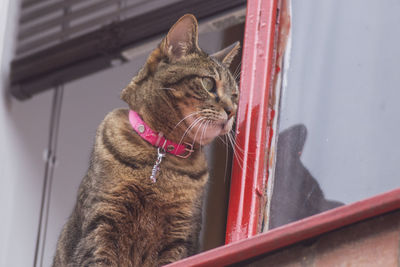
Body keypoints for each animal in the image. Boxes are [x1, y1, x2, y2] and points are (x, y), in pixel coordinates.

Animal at [53, 14, 241, 267]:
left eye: (235, 95)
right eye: (208, 83)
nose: (232, 111)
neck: (161, 151)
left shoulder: (180, 237)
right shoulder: (102, 223)